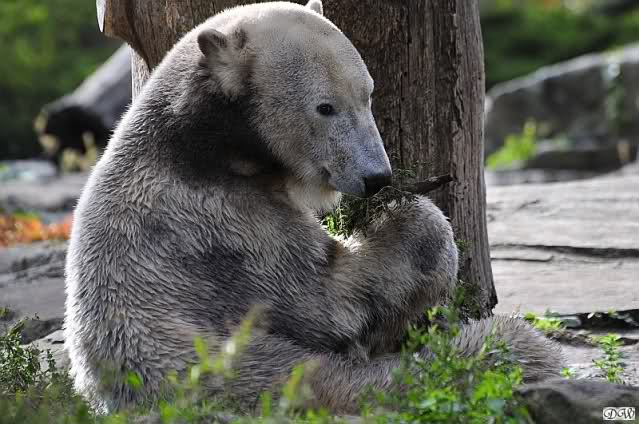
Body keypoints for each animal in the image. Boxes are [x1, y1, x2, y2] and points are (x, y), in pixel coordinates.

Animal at [64, 0, 563, 415]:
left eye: (368, 93)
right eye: (325, 107)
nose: (376, 177)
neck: (197, 146)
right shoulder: (217, 224)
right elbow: (329, 299)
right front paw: (413, 224)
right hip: (253, 368)